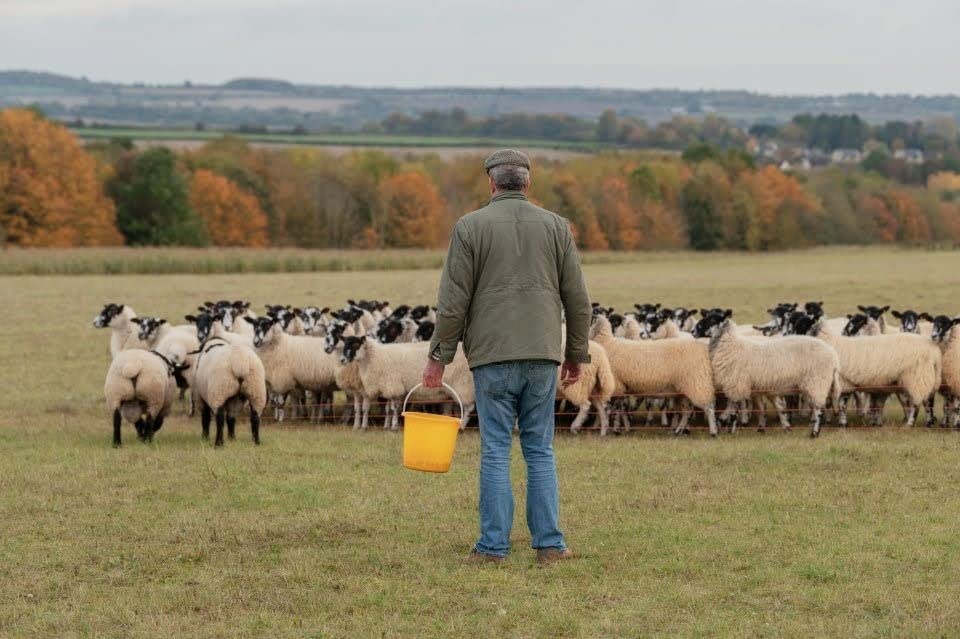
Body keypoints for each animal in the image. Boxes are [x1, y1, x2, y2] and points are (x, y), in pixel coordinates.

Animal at [588, 314, 716, 436]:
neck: (607, 343)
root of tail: (702, 349)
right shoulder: (621, 388)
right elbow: (618, 409)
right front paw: (618, 429)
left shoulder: (615, 385)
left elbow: (610, 410)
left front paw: (609, 429)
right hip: (683, 390)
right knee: (687, 411)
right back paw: (678, 431)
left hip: (696, 383)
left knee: (708, 407)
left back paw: (713, 432)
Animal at [704, 318, 840, 438]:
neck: (731, 346)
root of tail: (833, 357)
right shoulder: (752, 388)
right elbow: (761, 408)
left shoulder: (736, 385)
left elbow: (734, 410)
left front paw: (730, 429)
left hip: (817, 382)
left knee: (819, 409)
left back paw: (814, 433)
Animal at [812, 322, 940, 428]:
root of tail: (934, 352)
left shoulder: (844, 382)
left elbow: (842, 404)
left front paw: (842, 423)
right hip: (924, 377)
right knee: (928, 401)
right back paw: (929, 422)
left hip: (917, 377)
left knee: (918, 403)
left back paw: (910, 423)